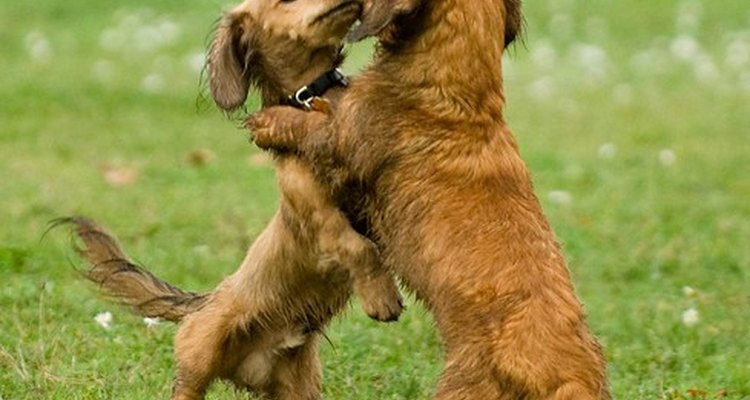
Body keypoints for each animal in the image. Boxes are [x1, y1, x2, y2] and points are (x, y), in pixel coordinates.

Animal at [250, 0, 612, 400]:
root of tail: (571, 379)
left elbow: (312, 128)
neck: (454, 98)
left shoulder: (343, 136)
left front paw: (266, 121)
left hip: (464, 384)